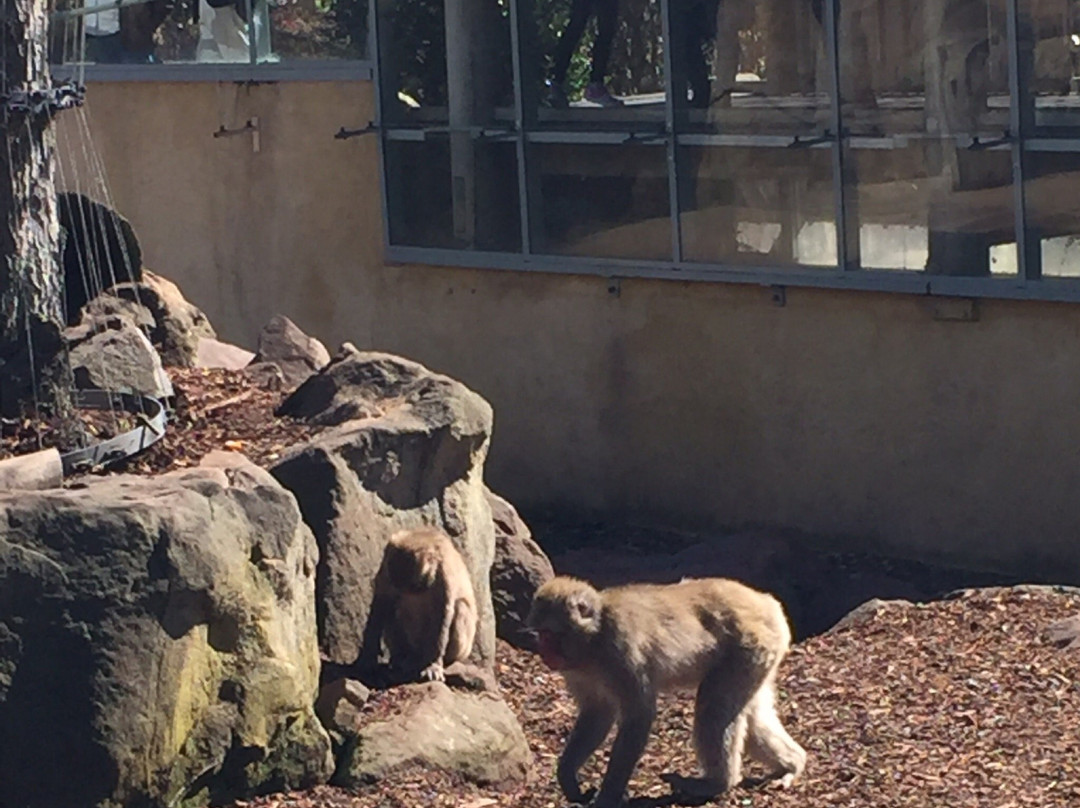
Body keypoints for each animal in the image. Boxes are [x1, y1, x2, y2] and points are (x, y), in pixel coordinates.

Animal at [358, 529, 477, 682]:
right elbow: (383, 600)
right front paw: (368, 657)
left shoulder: (443, 573)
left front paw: (433, 665)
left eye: (414, 584)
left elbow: (442, 614)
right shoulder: (386, 563)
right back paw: (403, 658)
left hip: (462, 648)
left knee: (460, 606)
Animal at [527, 578, 807, 803]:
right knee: (750, 714)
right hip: (761, 655)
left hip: (749, 646)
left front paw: (607, 797)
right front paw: (567, 777)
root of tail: (766, 602)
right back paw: (793, 764)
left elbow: (639, 716)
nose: (543, 651)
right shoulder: (577, 670)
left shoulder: (621, 651)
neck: (593, 640)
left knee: (713, 711)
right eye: (540, 634)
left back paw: (717, 783)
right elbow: (598, 714)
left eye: (548, 634)